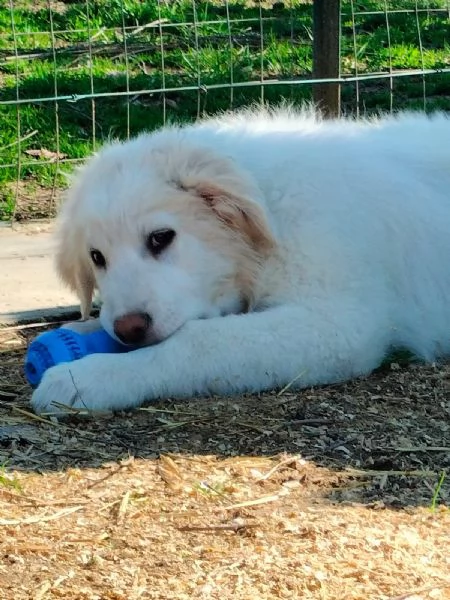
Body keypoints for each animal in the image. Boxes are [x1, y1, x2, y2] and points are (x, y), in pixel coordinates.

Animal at [30, 105, 450, 414]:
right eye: (97, 257)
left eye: (161, 238)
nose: (129, 328)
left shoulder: (341, 324)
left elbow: (197, 342)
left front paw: (89, 377)